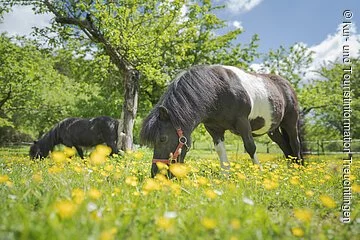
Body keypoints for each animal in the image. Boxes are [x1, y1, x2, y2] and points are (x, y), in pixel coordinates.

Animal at [139, 64, 302, 177]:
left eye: (163, 139)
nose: (155, 174)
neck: (218, 91)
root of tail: (287, 85)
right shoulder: (214, 129)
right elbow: (220, 153)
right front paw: (225, 177)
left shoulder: (243, 122)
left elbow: (250, 147)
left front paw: (259, 173)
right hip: (273, 130)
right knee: (285, 147)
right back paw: (291, 171)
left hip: (290, 122)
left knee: (295, 143)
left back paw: (299, 169)